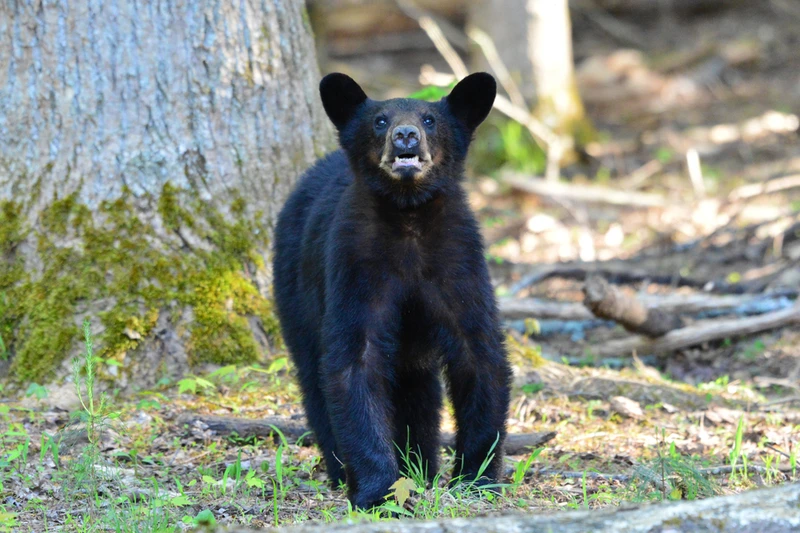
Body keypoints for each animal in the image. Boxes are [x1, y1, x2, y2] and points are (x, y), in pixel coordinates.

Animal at [272, 72, 512, 510]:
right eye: (380, 120)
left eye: (430, 119)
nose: (405, 135)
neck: (408, 217)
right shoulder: (356, 266)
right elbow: (355, 361)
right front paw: (377, 491)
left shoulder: (458, 261)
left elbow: (479, 353)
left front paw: (477, 478)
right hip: (296, 291)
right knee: (313, 374)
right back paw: (341, 470)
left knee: (418, 388)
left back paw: (422, 466)